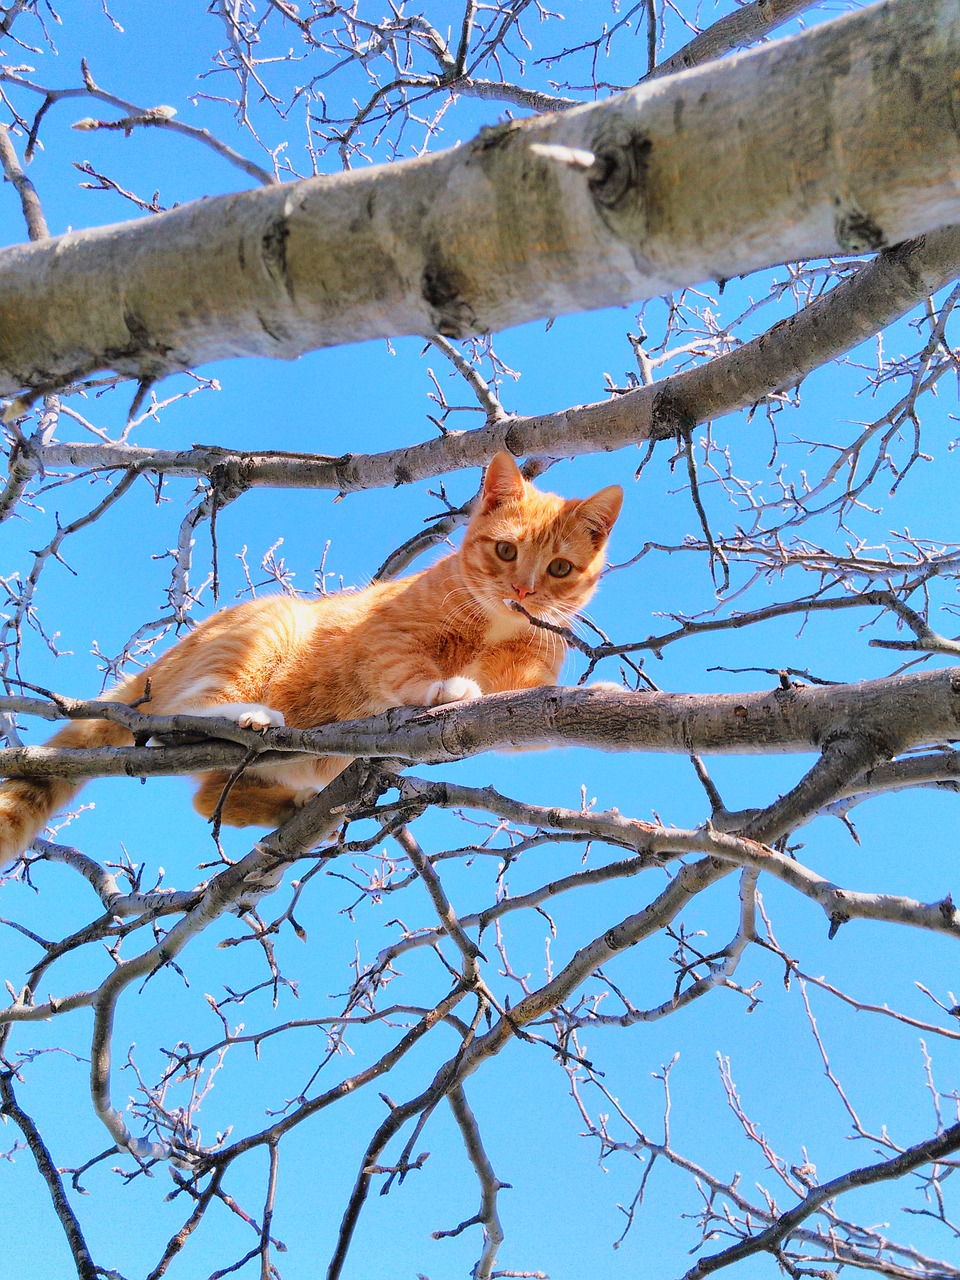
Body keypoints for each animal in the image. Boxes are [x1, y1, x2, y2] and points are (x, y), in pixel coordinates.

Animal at [0, 453, 624, 860]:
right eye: (506, 551)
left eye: (559, 568)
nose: (522, 591)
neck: (495, 627)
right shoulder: (386, 638)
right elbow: (409, 667)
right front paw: (442, 687)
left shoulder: (517, 692)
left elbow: (530, 707)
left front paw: (598, 693)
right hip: (265, 630)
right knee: (187, 713)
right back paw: (245, 718)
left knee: (207, 798)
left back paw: (294, 809)